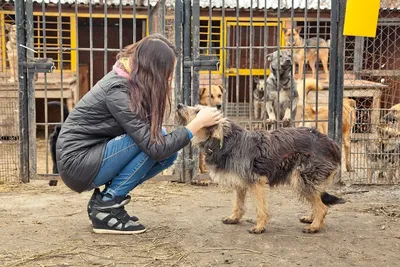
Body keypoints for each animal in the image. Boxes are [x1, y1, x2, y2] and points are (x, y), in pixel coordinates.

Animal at [177, 104, 346, 234]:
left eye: (198, 111)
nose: (179, 105)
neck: (226, 141)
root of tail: (332, 143)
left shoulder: (256, 182)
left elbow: (260, 208)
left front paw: (259, 227)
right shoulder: (240, 183)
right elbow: (238, 205)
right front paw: (234, 218)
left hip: (301, 178)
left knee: (322, 207)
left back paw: (314, 226)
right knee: (318, 200)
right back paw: (311, 218)